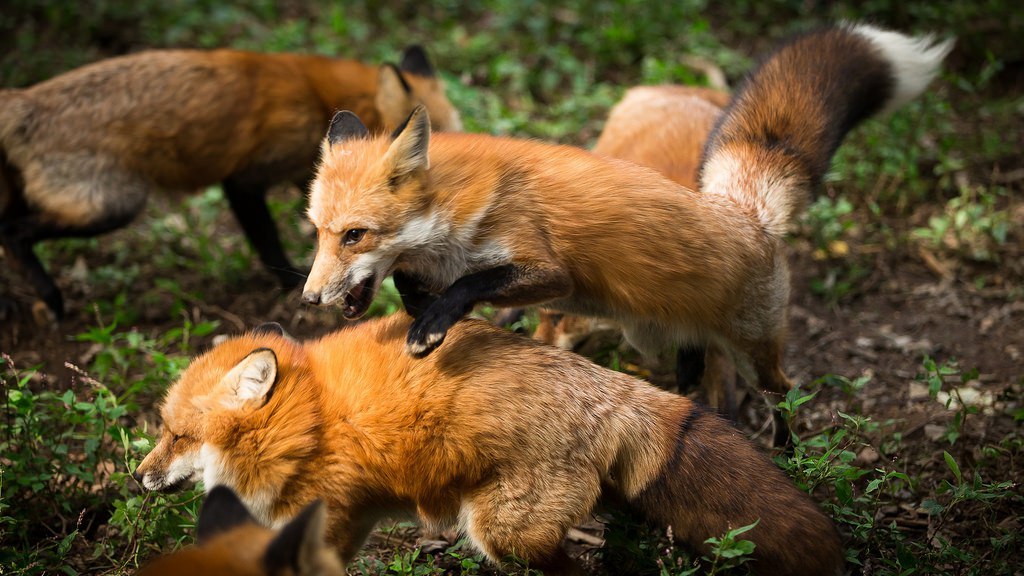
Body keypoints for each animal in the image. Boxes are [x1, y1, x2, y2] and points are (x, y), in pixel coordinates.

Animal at [0, 45, 462, 317]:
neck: (317, 98)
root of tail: (24, 98)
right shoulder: (245, 180)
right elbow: (268, 241)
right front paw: (292, 282)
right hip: (112, 206)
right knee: (13, 233)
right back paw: (50, 298)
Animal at [301, 25, 950, 444]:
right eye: (319, 234)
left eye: (355, 235)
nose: (307, 298)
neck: (458, 215)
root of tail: (742, 209)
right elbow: (426, 285)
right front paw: (425, 314)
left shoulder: (549, 270)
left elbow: (472, 284)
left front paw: (431, 327)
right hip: (683, 346)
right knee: (700, 381)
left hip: (755, 351)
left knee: (783, 392)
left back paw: (787, 455)